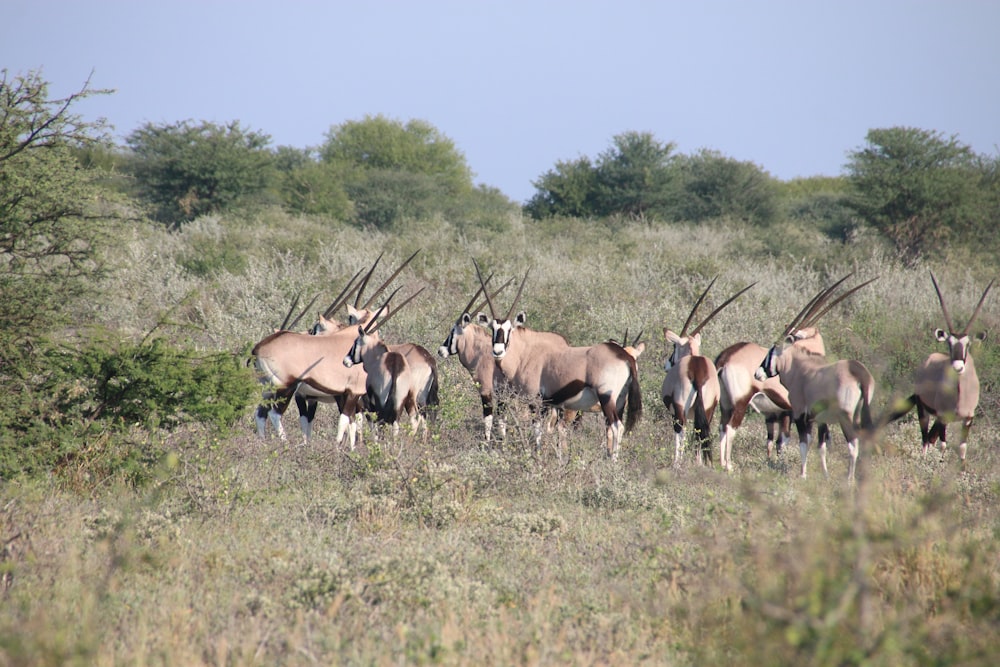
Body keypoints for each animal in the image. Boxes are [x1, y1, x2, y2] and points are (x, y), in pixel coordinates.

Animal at [474, 264, 640, 462]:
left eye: (509, 330)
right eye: (492, 329)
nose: (498, 351)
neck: (526, 353)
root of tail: (625, 356)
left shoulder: (535, 401)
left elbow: (537, 429)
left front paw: (537, 455)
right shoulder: (550, 404)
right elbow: (548, 430)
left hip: (607, 398)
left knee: (616, 426)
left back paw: (613, 463)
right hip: (620, 400)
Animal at [660, 276, 752, 470]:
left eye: (674, 346)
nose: (667, 364)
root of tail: (697, 371)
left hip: (680, 409)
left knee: (683, 431)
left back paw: (678, 463)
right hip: (708, 408)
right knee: (701, 433)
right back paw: (701, 464)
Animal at [752, 274, 880, 482]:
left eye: (772, 350)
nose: (758, 373)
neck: (799, 367)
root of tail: (861, 375)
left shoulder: (800, 413)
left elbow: (804, 443)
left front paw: (803, 475)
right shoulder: (821, 420)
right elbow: (821, 447)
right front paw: (825, 475)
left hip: (846, 417)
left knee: (853, 445)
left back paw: (849, 480)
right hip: (860, 415)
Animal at [892, 272, 992, 464]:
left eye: (967, 344)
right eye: (949, 343)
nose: (958, 366)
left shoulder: (968, 418)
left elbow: (962, 448)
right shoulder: (943, 417)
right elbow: (943, 445)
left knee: (930, 437)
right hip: (924, 409)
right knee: (925, 438)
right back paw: (923, 461)